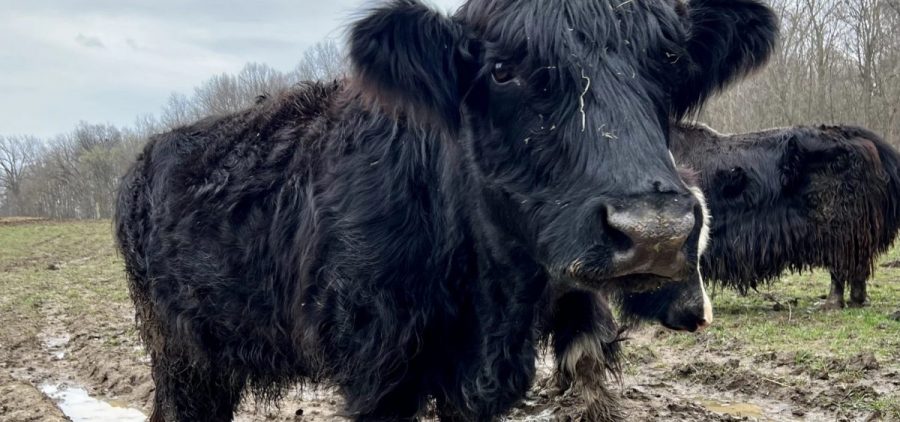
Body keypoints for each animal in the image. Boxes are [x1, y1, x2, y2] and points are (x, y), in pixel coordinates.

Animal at [114, 0, 777, 420]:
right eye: (502, 70)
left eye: (670, 63)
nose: (655, 231)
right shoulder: (379, 379)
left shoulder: (480, 385)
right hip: (182, 360)